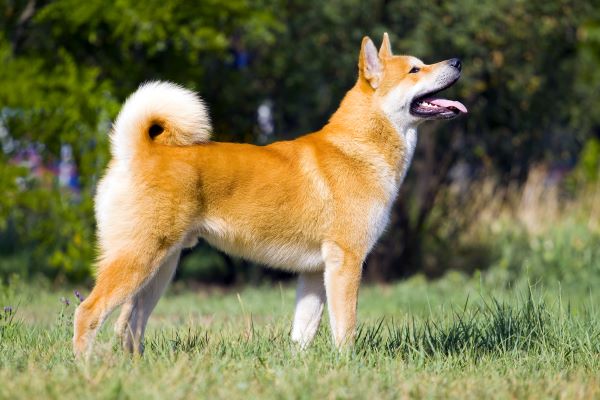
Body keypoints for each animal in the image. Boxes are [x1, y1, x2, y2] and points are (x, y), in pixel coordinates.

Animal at [74, 32, 468, 354]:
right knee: (87, 312)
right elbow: (345, 329)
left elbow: (302, 333)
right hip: (138, 259)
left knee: (130, 326)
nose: (457, 61)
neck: (358, 148)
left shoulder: (315, 272)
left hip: (160, 268)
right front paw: (348, 366)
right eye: (415, 69)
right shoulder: (346, 262)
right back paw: (86, 369)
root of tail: (137, 151)